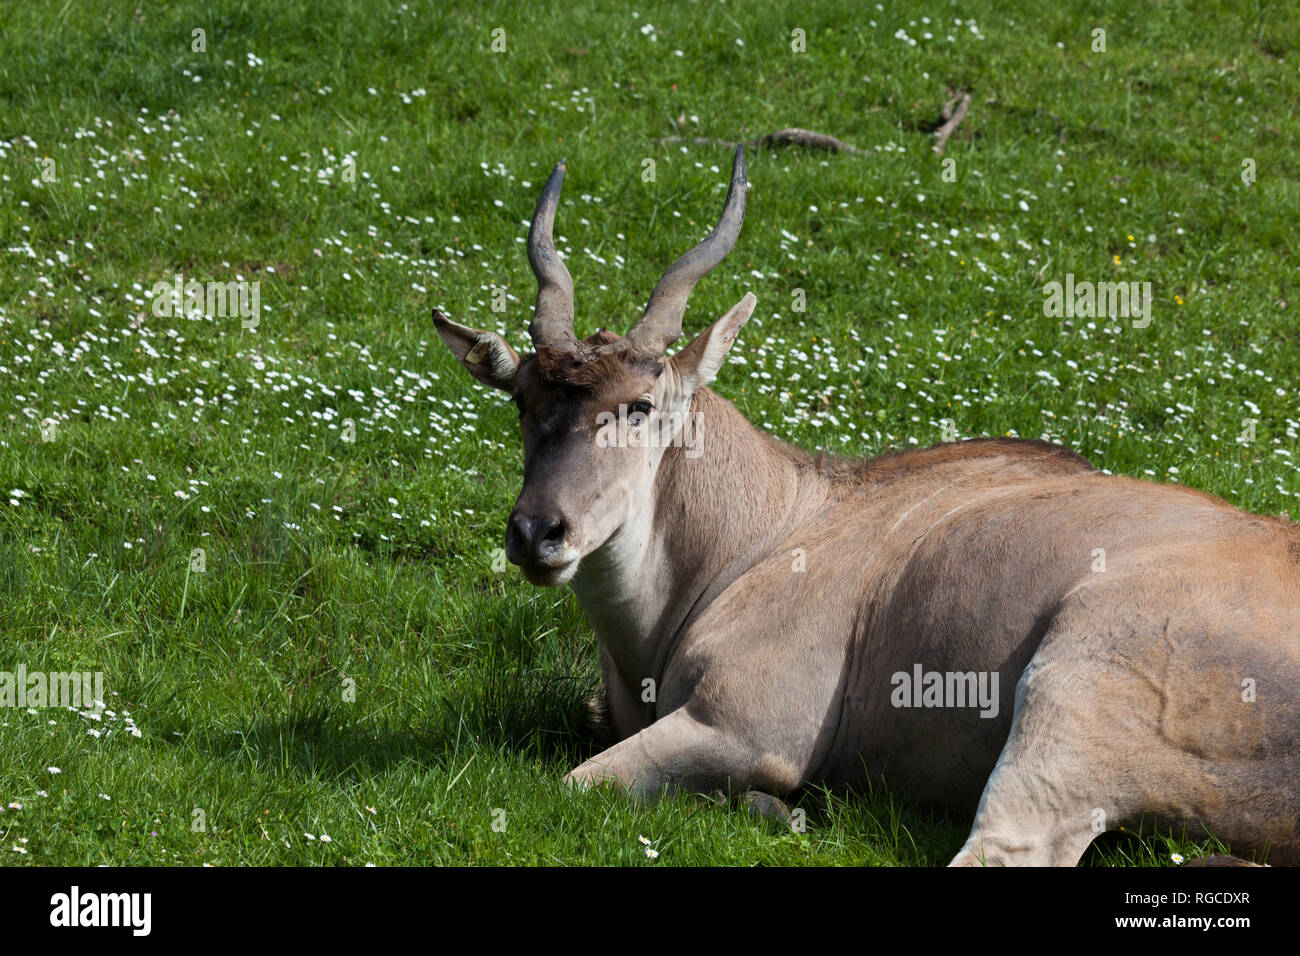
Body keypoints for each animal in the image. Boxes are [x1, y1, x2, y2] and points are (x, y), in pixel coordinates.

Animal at [434, 147, 1300, 868]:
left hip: (1074, 692)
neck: (777, 523)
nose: (537, 532)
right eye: (521, 400)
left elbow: (577, 783)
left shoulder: (739, 729)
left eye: (641, 406)